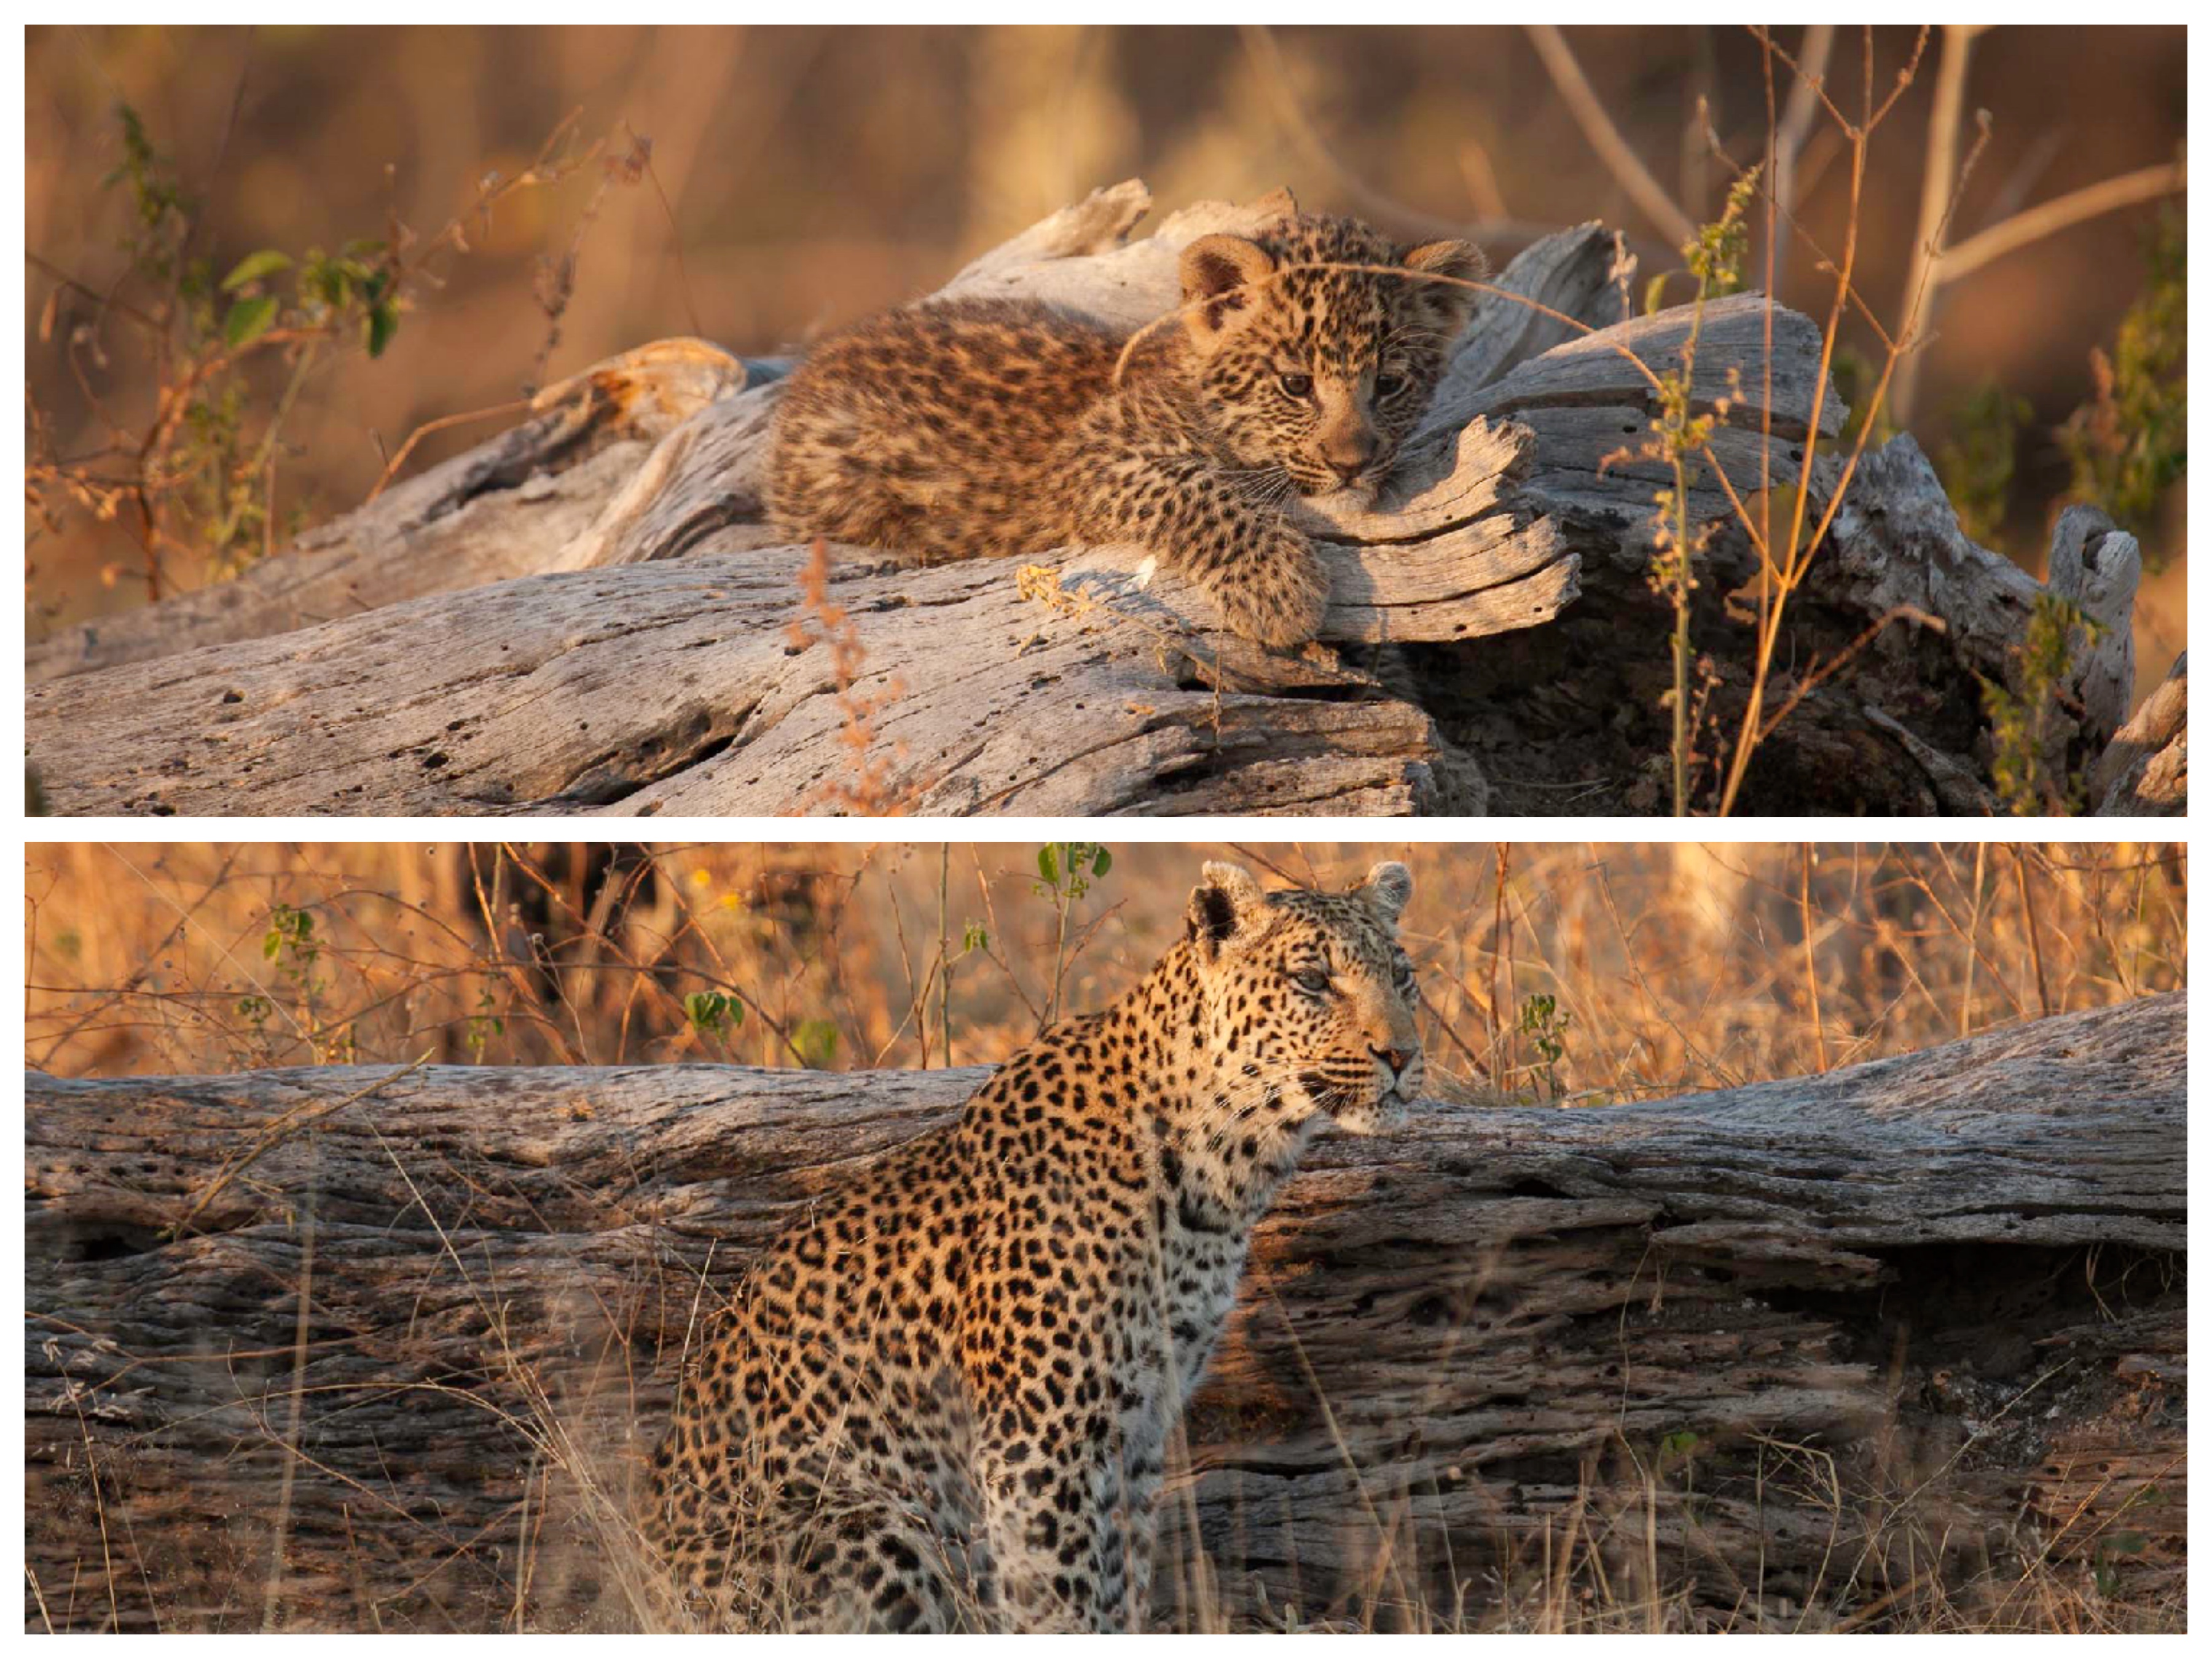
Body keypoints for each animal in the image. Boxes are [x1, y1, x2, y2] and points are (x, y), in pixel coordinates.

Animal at [639, 858, 1425, 1632]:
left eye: (1402, 975)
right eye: (1313, 980)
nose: (1404, 1054)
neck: (1221, 1169)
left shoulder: (1139, 1433)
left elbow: (1122, 1590)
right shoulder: (1039, 1440)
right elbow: (1058, 1601)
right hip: (873, 1526)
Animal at [765, 197, 1483, 650]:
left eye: (1389, 385)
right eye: (1295, 385)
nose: (1351, 462)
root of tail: (815, 367)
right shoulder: (1091, 456)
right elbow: (1198, 491)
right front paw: (1280, 591)